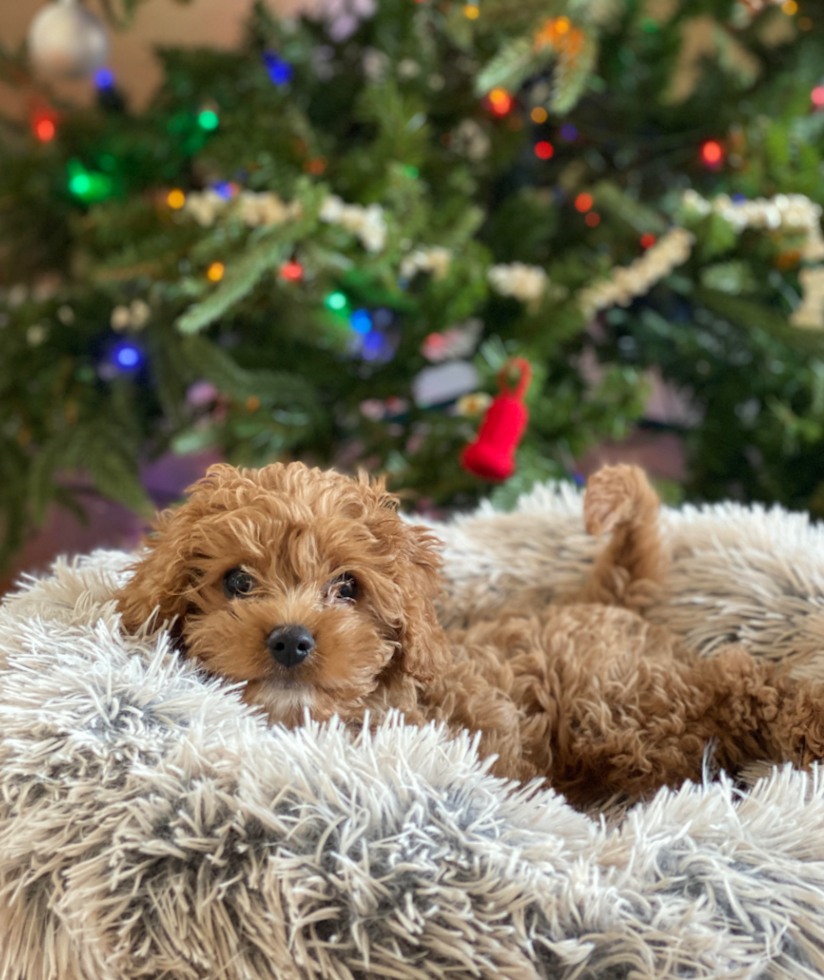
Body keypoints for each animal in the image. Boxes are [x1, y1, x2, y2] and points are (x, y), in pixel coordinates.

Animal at [114, 464, 824, 808]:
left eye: (347, 586)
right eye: (237, 581)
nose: (291, 640)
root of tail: (601, 600)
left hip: (618, 702)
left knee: (738, 678)